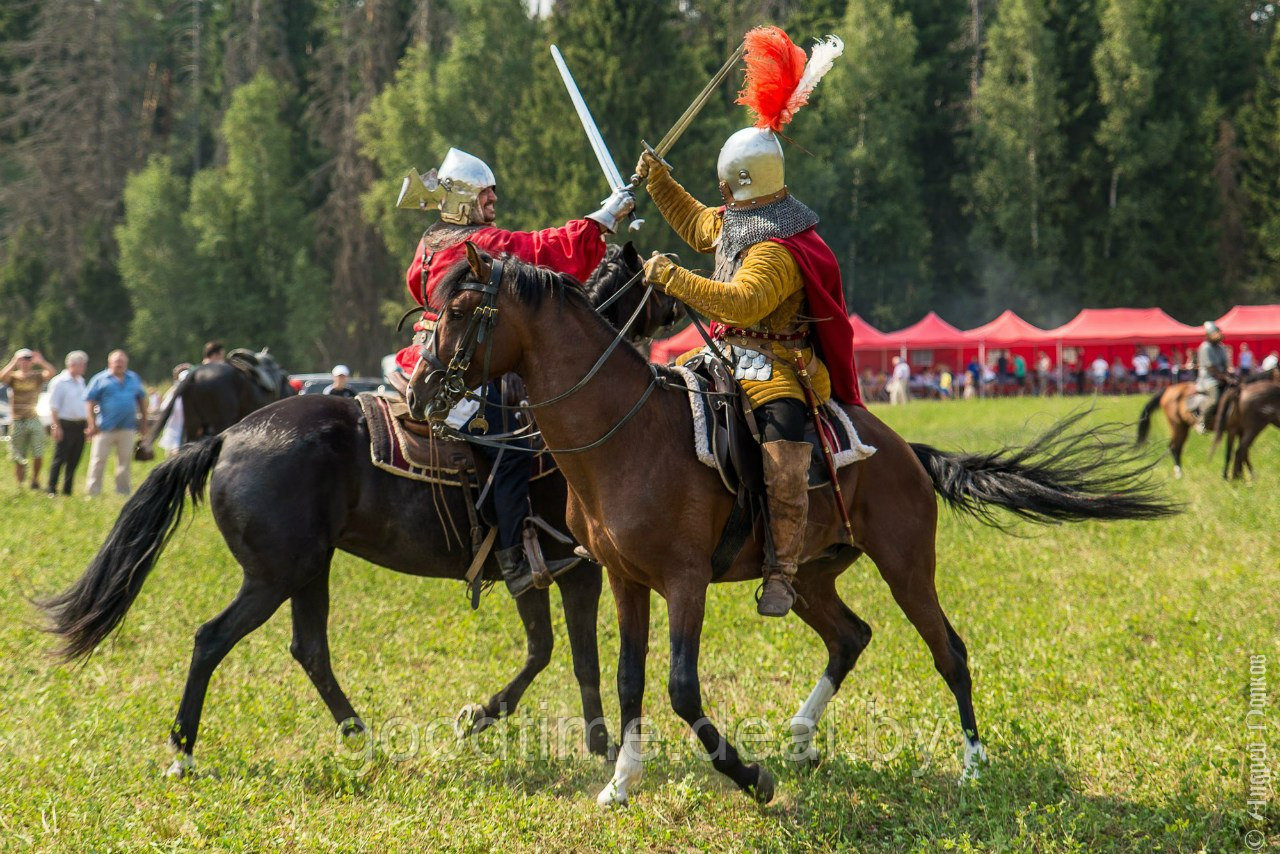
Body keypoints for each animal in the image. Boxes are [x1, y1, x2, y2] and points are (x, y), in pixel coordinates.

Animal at [407, 247, 1172, 809]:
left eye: (462, 309)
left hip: (906, 565)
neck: (624, 435)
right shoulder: (625, 580)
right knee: (850, 636)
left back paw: (973, 767)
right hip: (806, 575)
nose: (419, 392)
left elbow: (681, 687)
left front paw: (751, 779)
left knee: (949, 651)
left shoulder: (685, 582)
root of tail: (907, 451)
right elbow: (629, 680)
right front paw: (621, 784)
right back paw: (803, 736)